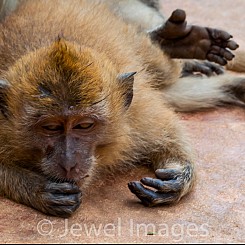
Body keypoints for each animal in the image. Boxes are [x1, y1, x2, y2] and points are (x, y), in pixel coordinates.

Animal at [0, 0, 245, 218]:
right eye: (50, 127)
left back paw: (174, 42)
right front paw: (39, 189)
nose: (69, 163)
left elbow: (167, 130)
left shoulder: (135, 117)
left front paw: (178, 174)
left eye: (84, 125)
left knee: (164, 72)